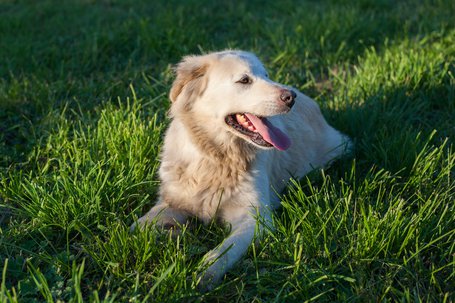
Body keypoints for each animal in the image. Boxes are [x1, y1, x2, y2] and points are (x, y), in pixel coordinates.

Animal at [132, 50, 352, 290]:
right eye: (244, 80)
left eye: (266, 75)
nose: (291, 97)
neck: (217, 158)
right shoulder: (171, 201)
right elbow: (139, 225)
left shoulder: (255, 220)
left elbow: (223, 252)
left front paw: (203, 274)